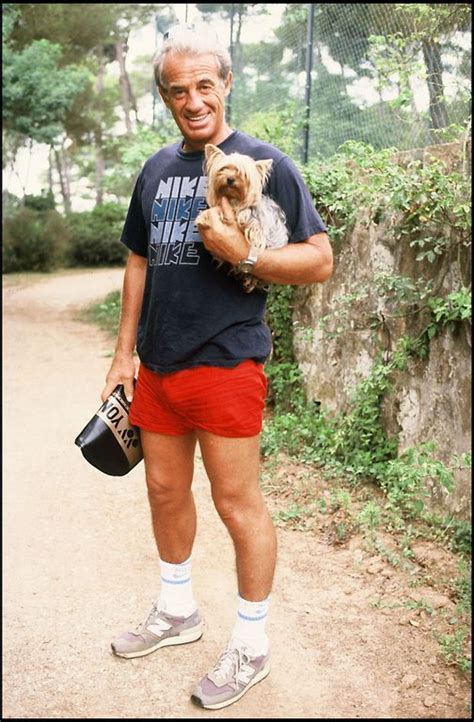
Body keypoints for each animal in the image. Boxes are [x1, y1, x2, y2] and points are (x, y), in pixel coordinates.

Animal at [196, 142, 288, 292]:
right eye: (224, 168)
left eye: (243, 174)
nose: (230, 179)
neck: (233, 199)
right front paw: (202, 218)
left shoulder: (256, 223)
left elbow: (249, 223)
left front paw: (242, 217)